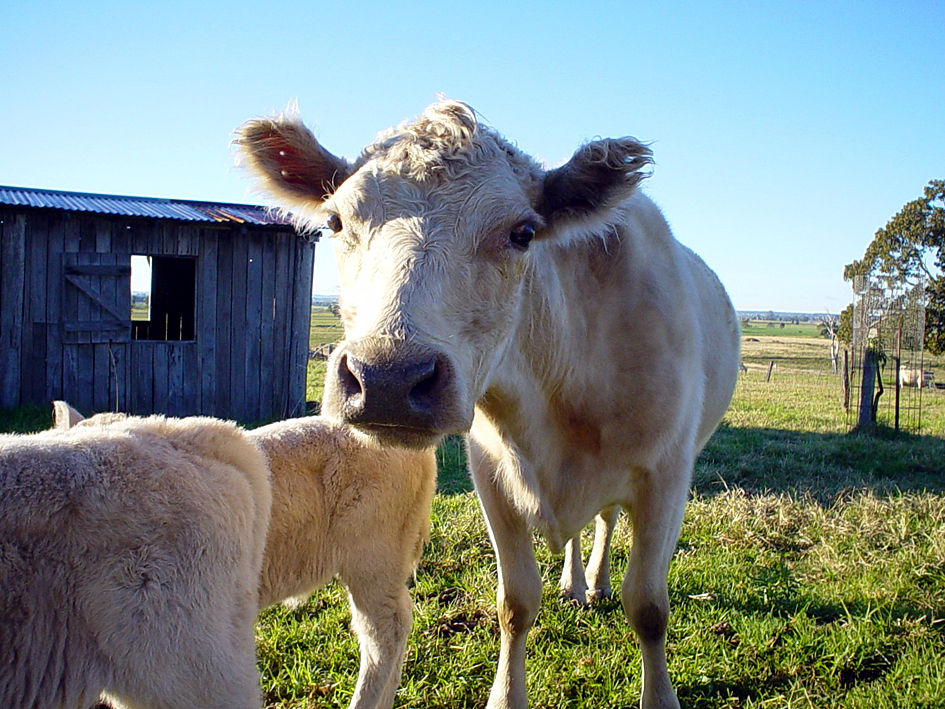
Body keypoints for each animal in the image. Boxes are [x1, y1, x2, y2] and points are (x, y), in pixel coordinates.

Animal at [236, 99, 741, 709]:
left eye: (523, 232)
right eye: (335, 222)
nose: (387, 378)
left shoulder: (666, 474)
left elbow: (647, 606)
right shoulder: (493, 475)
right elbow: (515, 603)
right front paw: (505, 694)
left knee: (604, 521)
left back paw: (595, 581)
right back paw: (577, 583)